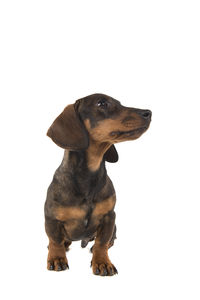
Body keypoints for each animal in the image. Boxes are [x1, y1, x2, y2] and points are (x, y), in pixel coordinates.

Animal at [45, 94, 152, 276]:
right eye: (102, 103)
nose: (148, 113)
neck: (88, 176)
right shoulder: (51, 218)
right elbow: (55, 241)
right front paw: (57, 258)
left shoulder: (109, 217)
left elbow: (102, 243)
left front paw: (102, 262)